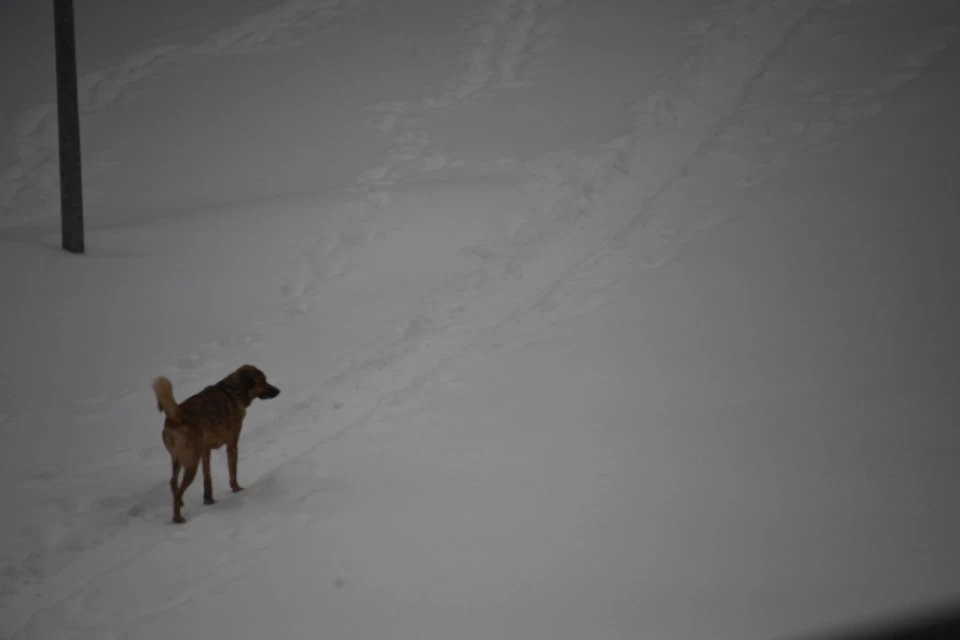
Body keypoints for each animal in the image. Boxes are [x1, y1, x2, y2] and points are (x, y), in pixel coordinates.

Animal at [150, 364, 278, 524]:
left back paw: (180, 503)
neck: (232, 391)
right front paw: (237, 489)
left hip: (178, 459)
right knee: (179, 491)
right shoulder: (232, 445)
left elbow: (207, 477)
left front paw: (208, 500)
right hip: (191, 463)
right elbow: (233, 472)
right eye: (263, 381)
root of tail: (175, 418)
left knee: (173, 482)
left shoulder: (205, 450)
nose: (278, 391)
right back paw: (177, 517)